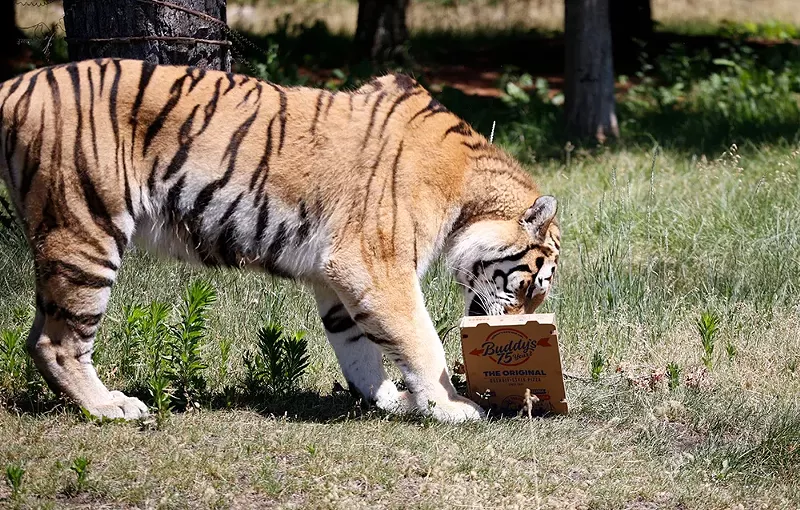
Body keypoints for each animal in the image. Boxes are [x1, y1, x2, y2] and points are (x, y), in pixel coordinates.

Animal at [0, 58, 560, 422]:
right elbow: (421, 341)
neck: (465, 193)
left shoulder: (337, 276)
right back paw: (110, 407)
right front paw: (451, 405)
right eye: (532, 285)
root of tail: (17, 83)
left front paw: (391, 400)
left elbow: (358, 347)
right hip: (86, 229)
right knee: (57, 342)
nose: (521, 324)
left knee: (38, 335)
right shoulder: (377, 266)